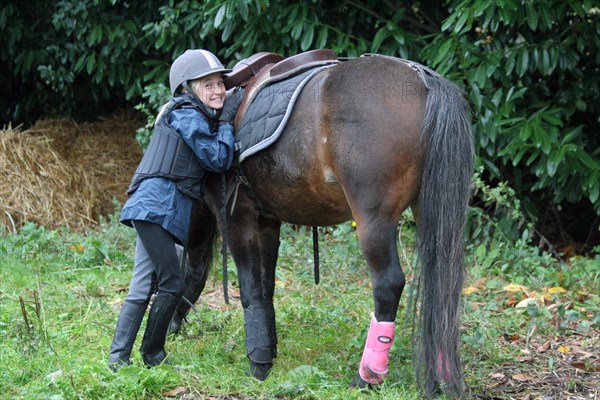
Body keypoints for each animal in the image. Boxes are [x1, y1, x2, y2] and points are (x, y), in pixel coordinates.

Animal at [170, 54, 474, 396]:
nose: (170, 328)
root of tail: (424, 81)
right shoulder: (267, 222)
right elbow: (265, 286)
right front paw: (268, 350)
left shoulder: (237, 218)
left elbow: (247, 288)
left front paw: (257, 365)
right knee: (443, 283)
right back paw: (441, 377)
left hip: (374, 220)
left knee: (389, 284)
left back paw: (366, 377)